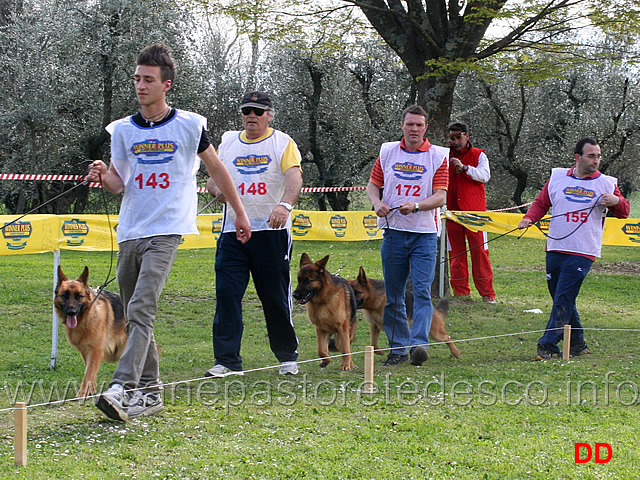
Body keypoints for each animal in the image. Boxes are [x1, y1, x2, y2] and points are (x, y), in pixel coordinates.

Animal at [54, 266, 127, 398]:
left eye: (79, 296)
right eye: (64, 295)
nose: (71, 312)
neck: (86, 318)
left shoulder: (96, 350)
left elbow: (88, 373)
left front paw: (82, 393)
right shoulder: (86, 351)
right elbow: (89, 370)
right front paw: (91, 390)